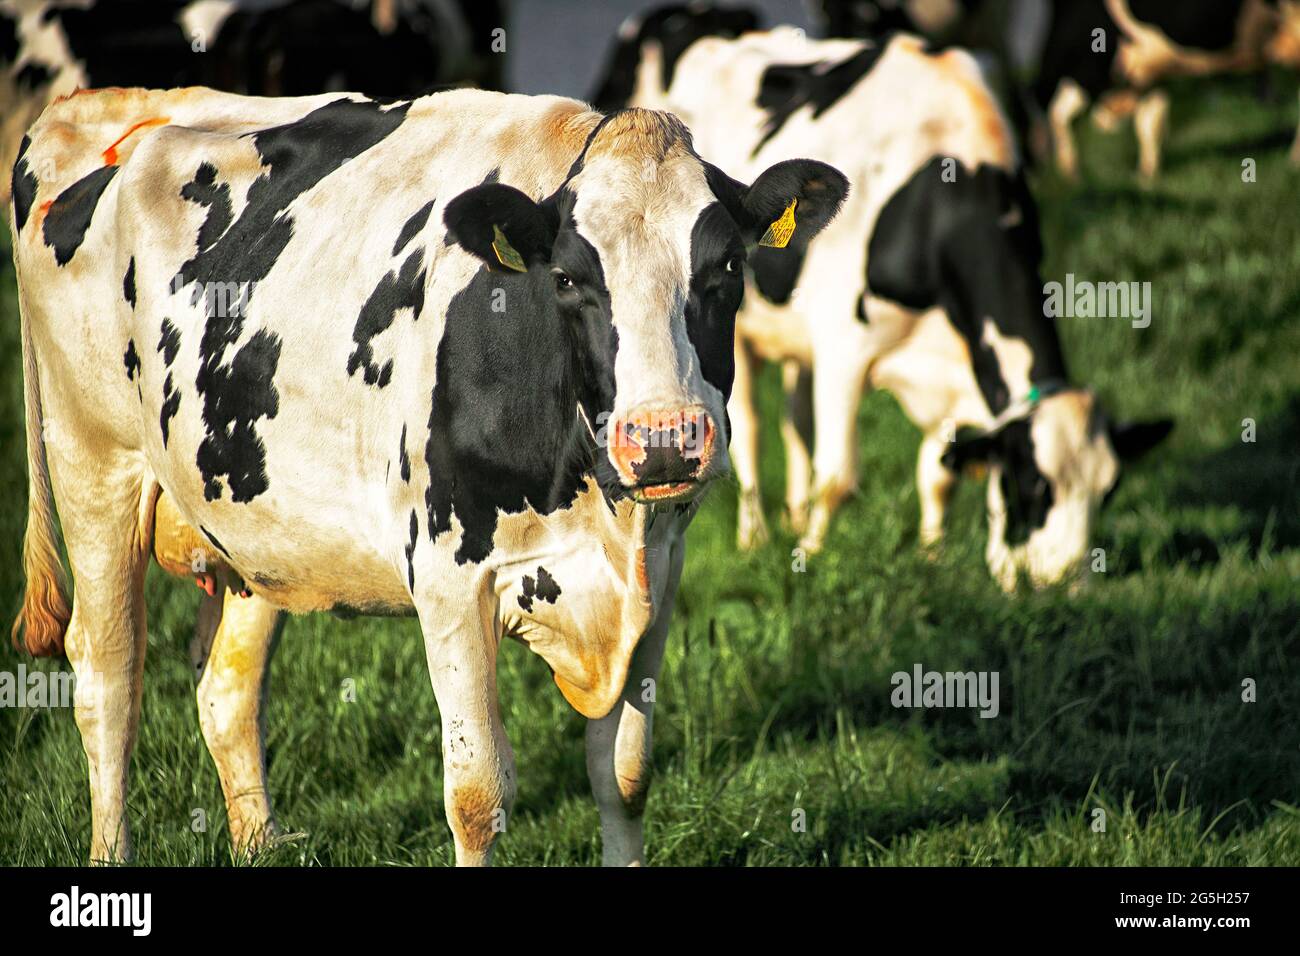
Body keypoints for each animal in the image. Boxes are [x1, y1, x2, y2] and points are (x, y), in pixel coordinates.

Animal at [9, 84, 847, 864]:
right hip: (95, 465)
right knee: (108, 677)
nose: (665, 439)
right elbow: (476, 795)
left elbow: (625, 775)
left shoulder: (659, 576)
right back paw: (110, 851)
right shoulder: (449, 578)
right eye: (568, 279)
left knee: (227, 689)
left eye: (727, 266)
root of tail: (93, 107)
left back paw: (259, 842)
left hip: (258, 525)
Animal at [595, 13, 1172, 590]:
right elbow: (838, 477)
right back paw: (755, 536)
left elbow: (938, 473)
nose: (1066, 583)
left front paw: (932, 557)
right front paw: (811, 558)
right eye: (1032, 484)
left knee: (794, 417)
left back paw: (793, 513)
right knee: (753, 430)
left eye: (1108, 490)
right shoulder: (844, 345)